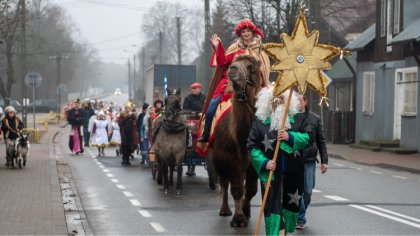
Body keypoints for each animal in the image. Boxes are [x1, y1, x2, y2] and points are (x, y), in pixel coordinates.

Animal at [209, 54, 262, 228]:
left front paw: (246, 211)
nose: (232, 69)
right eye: (233, 62)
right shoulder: (228, 158)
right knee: (224, 182)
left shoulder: (254, 161)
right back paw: (225, 210)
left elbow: (251, 189)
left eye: (251, 67)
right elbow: (237, 188)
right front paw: (239, 219)